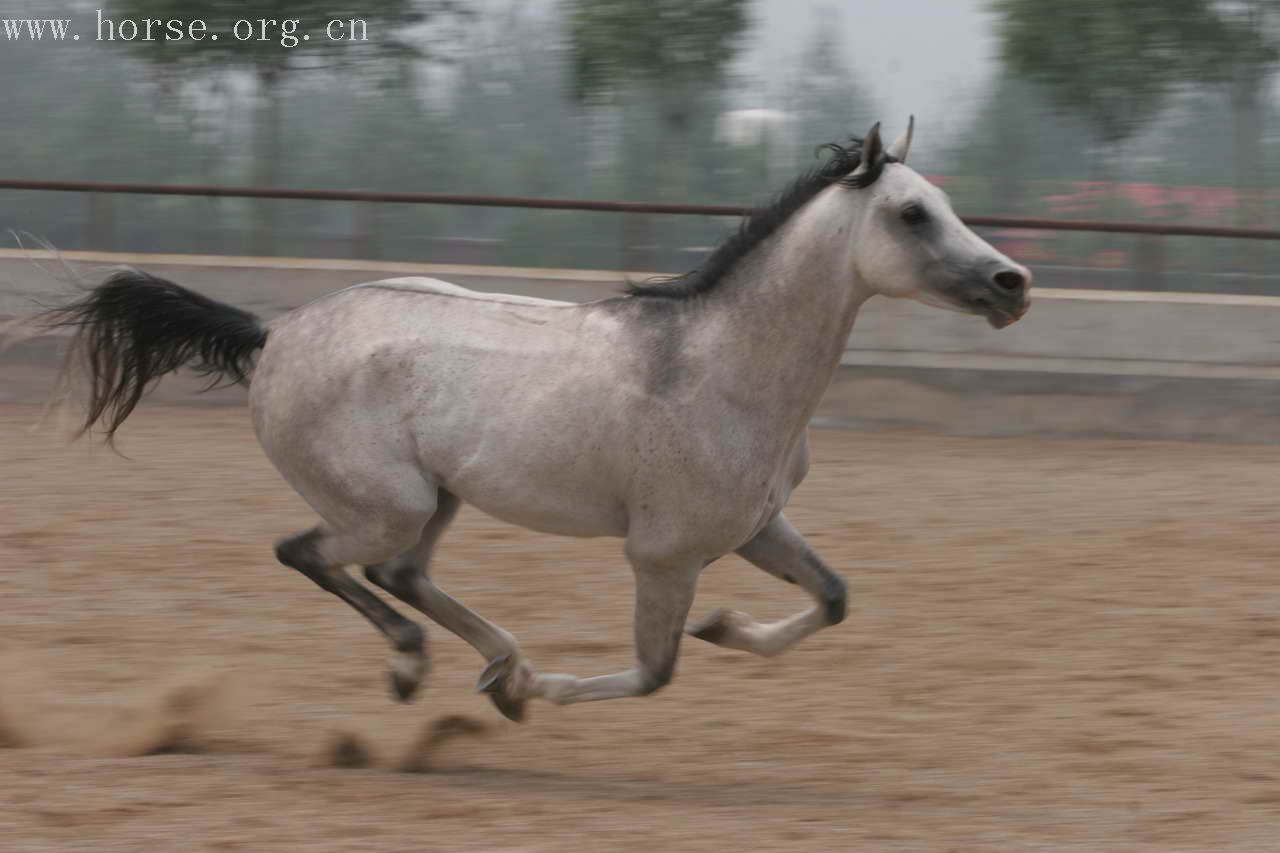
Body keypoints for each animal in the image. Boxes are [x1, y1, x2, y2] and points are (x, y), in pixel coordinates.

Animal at [30, 119, 1029, 717]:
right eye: (912, 212)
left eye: (946, 203)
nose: (1012, 282)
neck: (720, 365)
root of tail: (275, 332)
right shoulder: (663, 552)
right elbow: (656, 671)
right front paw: (544, 687)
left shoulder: (754, 527)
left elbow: (833, 596)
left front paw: (724, 628)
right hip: (385, 501)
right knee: (310, 554)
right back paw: (425, 667)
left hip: (437, 498)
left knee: (399, 572)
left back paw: (493, 664)